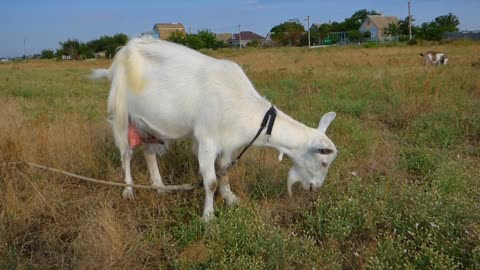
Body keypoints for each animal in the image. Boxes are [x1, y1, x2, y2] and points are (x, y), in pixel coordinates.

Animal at [91, 37, 338, 221]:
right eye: (324, 162)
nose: (315, 188)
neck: (241, 103)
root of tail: (121, 54)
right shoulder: (207, 140)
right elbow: (210, 181)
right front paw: (208, 217)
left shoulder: (228, 142)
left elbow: (225, 171)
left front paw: (230, 197)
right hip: (122, 113)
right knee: (126, 154)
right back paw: (128, 190)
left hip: (149, 123)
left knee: (149, 152)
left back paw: (160, 187)